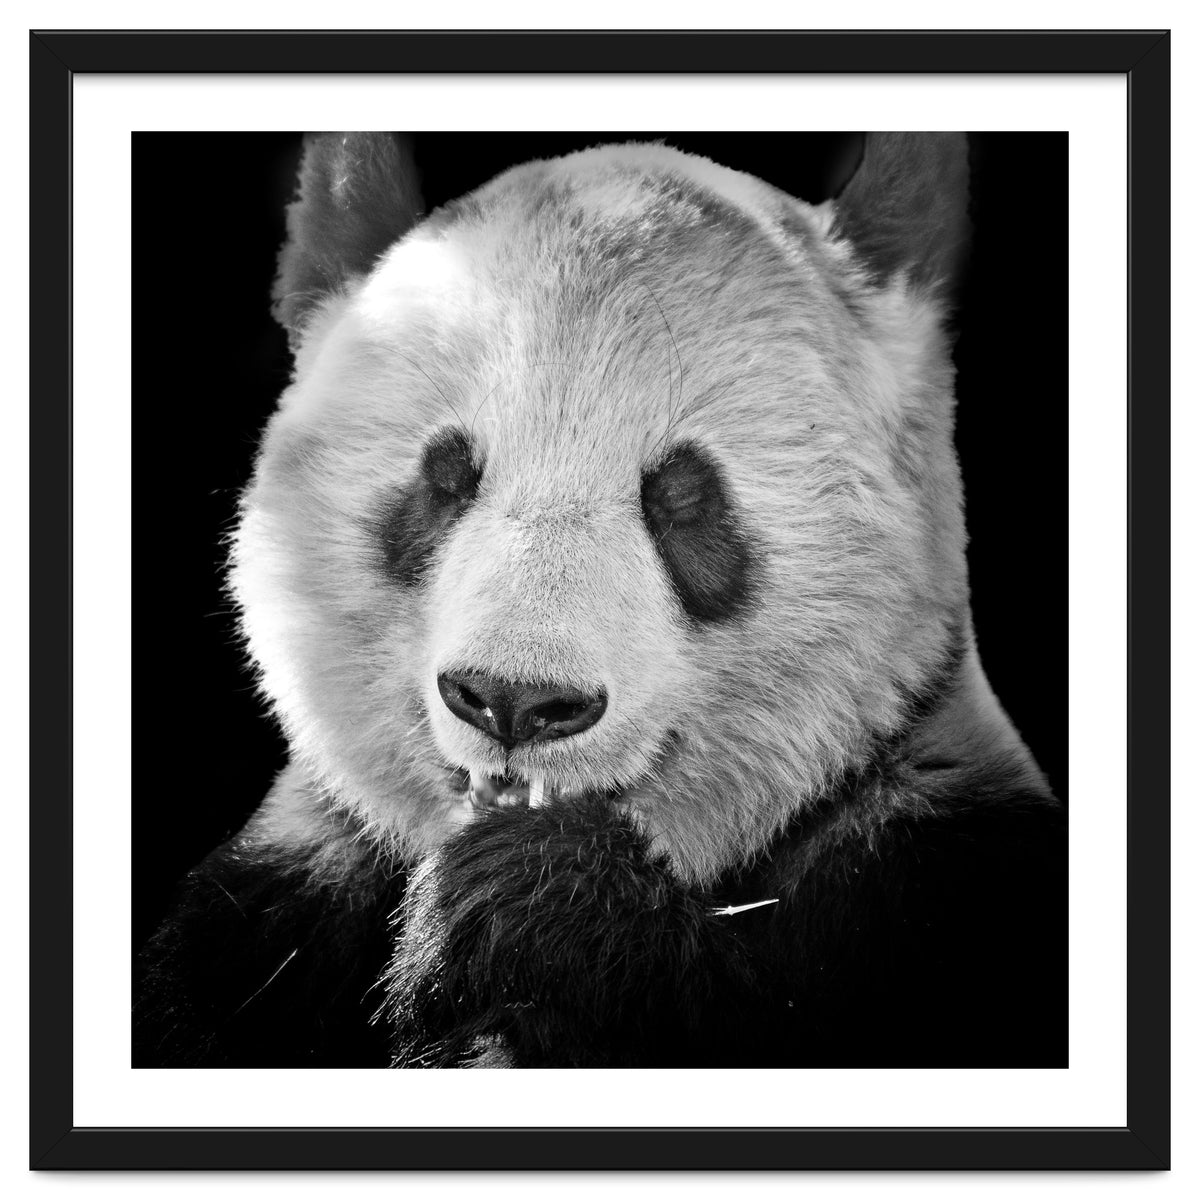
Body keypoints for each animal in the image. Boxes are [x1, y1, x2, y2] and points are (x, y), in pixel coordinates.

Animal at [134, 132, 1066, 1069]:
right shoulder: (270, 912)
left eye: (683, 496)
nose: (515, 701)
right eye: (445, 477)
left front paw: (532, 905)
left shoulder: (934, 876)